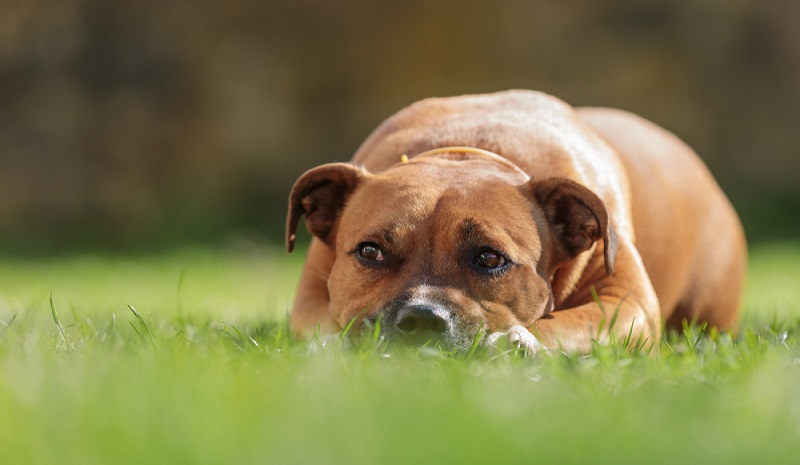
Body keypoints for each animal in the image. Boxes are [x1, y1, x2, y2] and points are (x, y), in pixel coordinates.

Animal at [284, 89, 748, 352]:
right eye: (370, 252)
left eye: (490, 259)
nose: (421, 319)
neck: (464, 152)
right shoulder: (309, 298)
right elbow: (326, 328)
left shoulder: (627, 302)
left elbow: (568, 326)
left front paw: (519, 341)